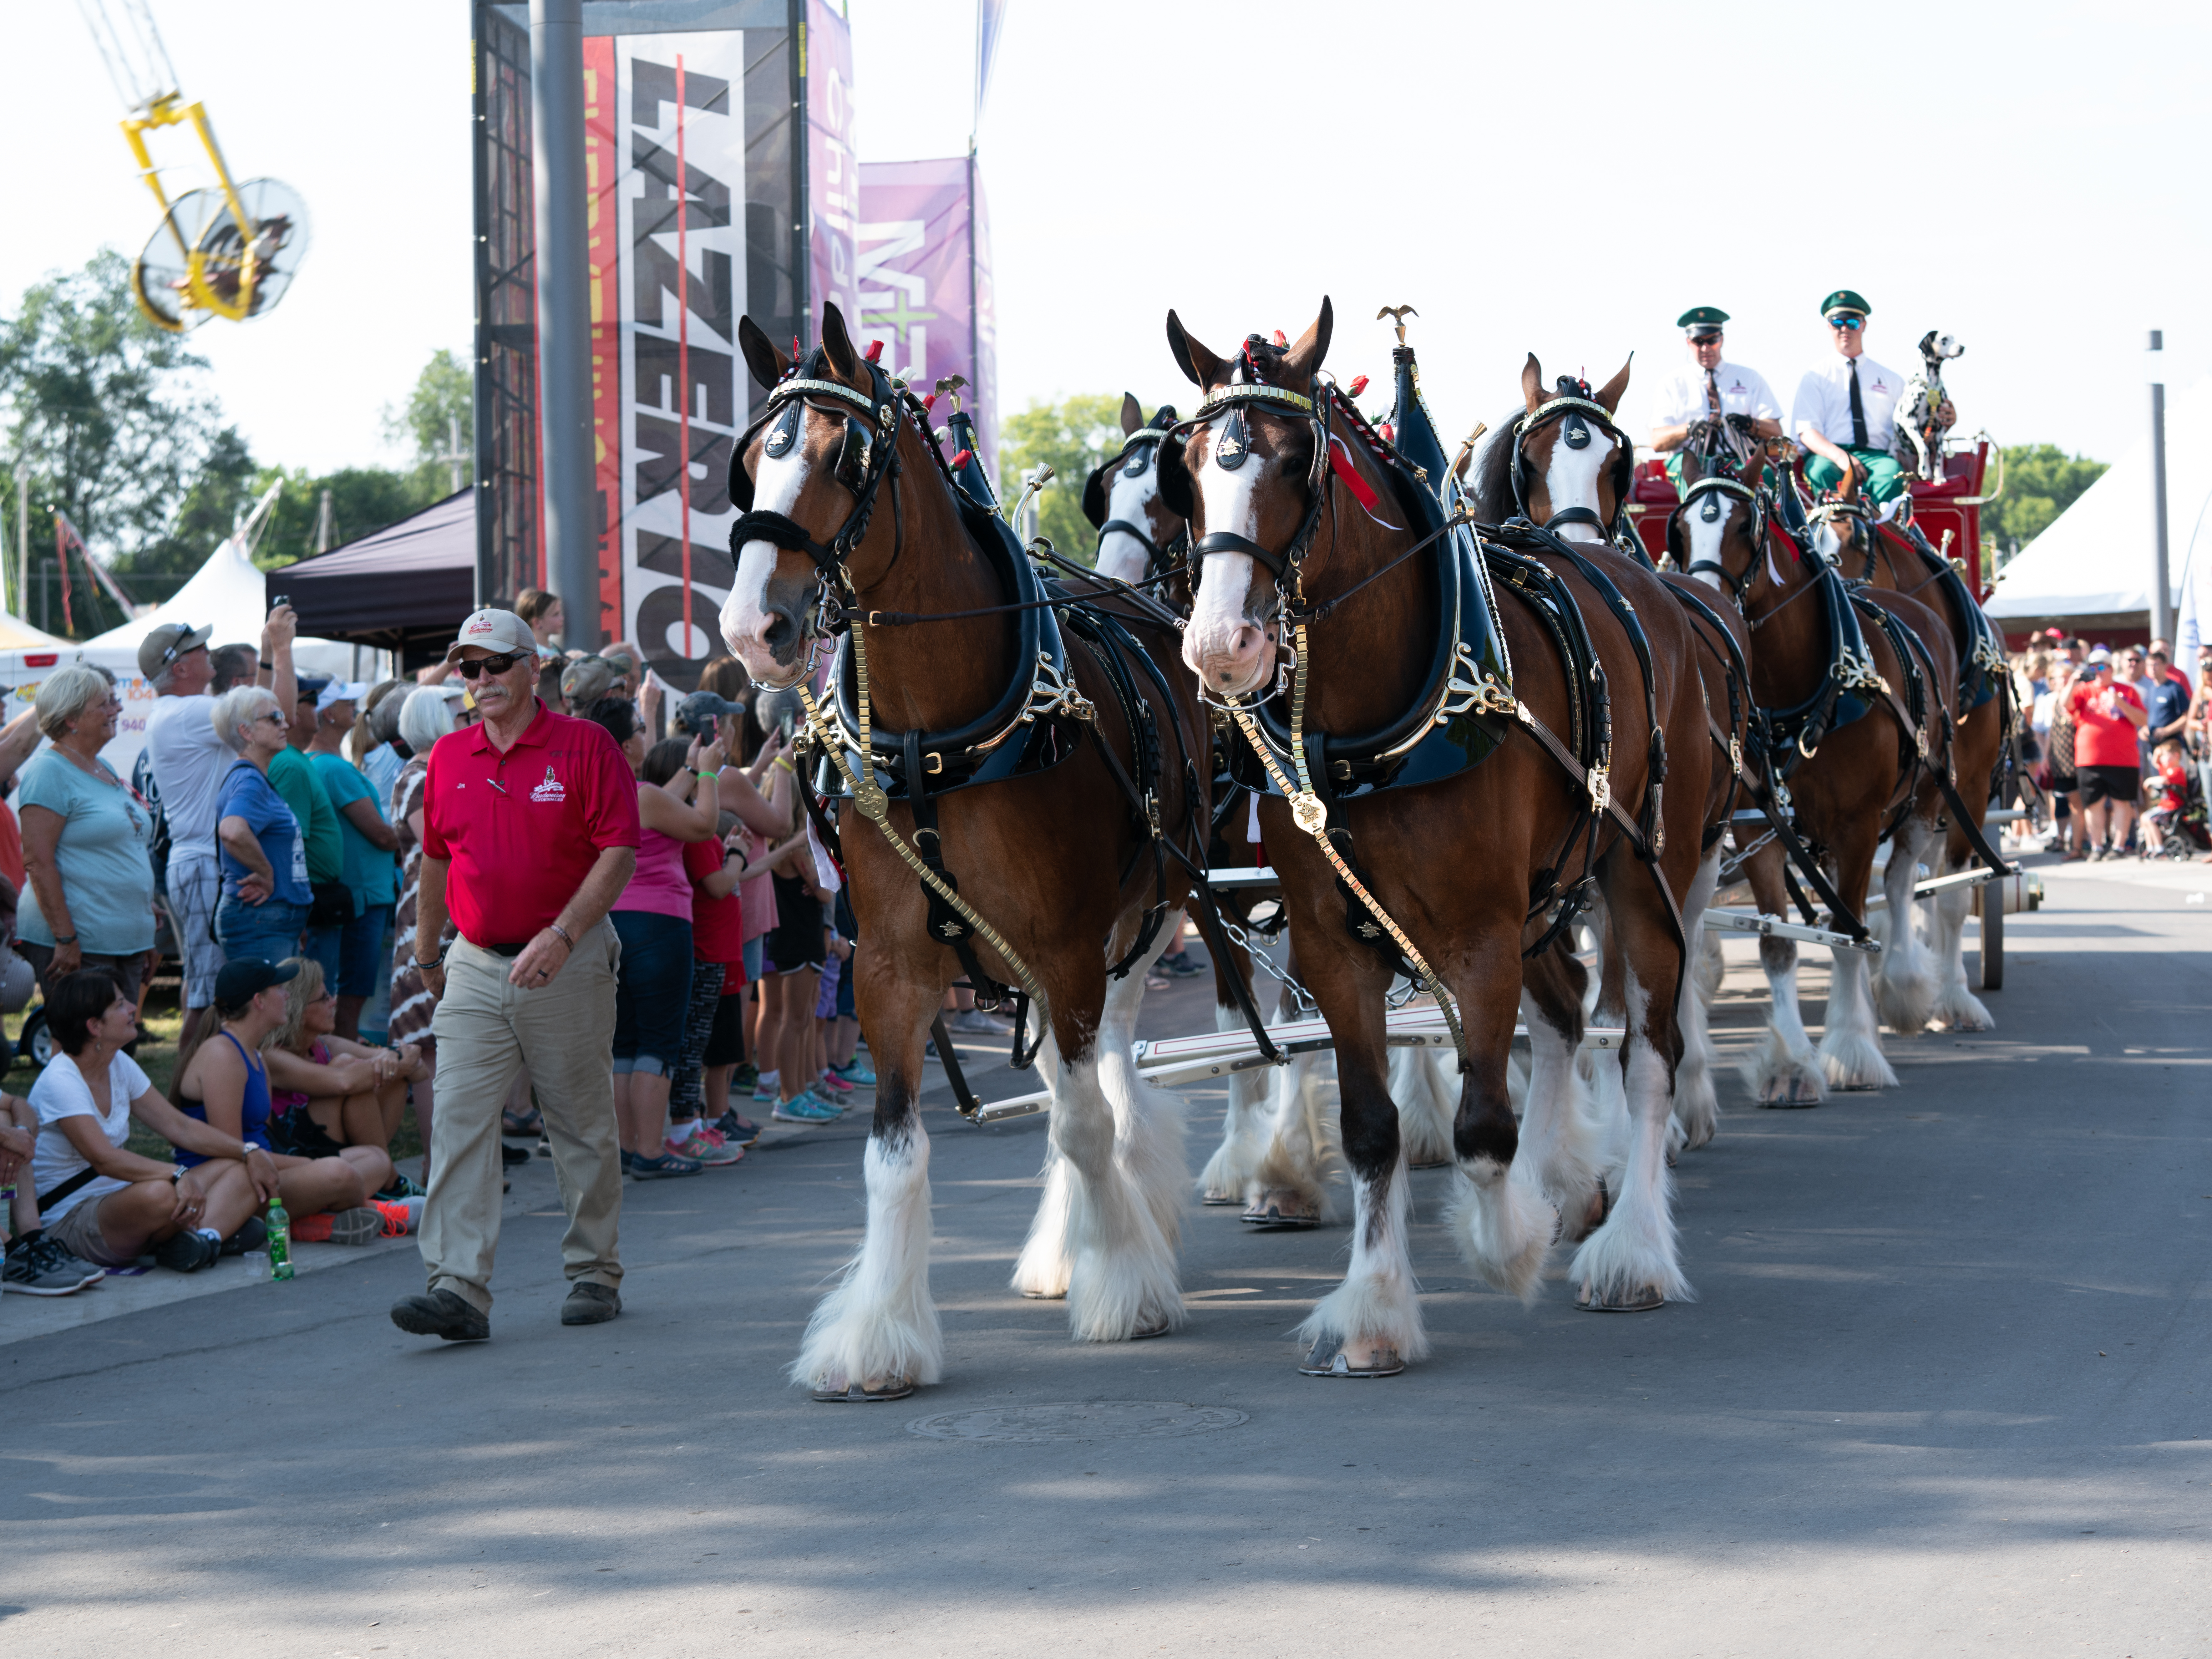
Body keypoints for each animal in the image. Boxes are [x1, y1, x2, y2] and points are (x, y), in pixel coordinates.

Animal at [721, 303, 1212, 1407]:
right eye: (752, 459)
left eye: (842, 456)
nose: (750, 627)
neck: (934, 737)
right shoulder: (890, 967)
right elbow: (893, 1154)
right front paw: (876, 1338)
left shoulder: (1068, 945)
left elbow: (1082, 1123)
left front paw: (1123, 1284)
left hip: (1153, 911)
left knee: (1109, 1078)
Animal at [1168, 303, 1716, 1380]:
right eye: (1192, 467)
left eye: (1295, 460)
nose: (1219, 648)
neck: (1376, 723)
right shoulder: (1331, 942)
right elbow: (1371, 1127)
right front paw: (1374, 1308)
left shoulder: (1479, 932)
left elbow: (1482, 1122)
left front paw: (1509, 1241)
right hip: (1547, 898)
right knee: (1564, 1015)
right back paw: (1570, 1185)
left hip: (1646, 874)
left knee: (1647, 1049)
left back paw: (1632, 1247)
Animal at [1663, 455, 1964, 1106]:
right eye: (1680, 530)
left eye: (1745, 524)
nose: (1702, 601)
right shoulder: (1759, 827)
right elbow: (1777, 943)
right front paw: (1790, 1064)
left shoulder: (1857, 825)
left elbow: (1852, 929)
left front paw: (1851, 1050)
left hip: (1926, 798)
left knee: (1903, 886)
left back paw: (1906, 986)